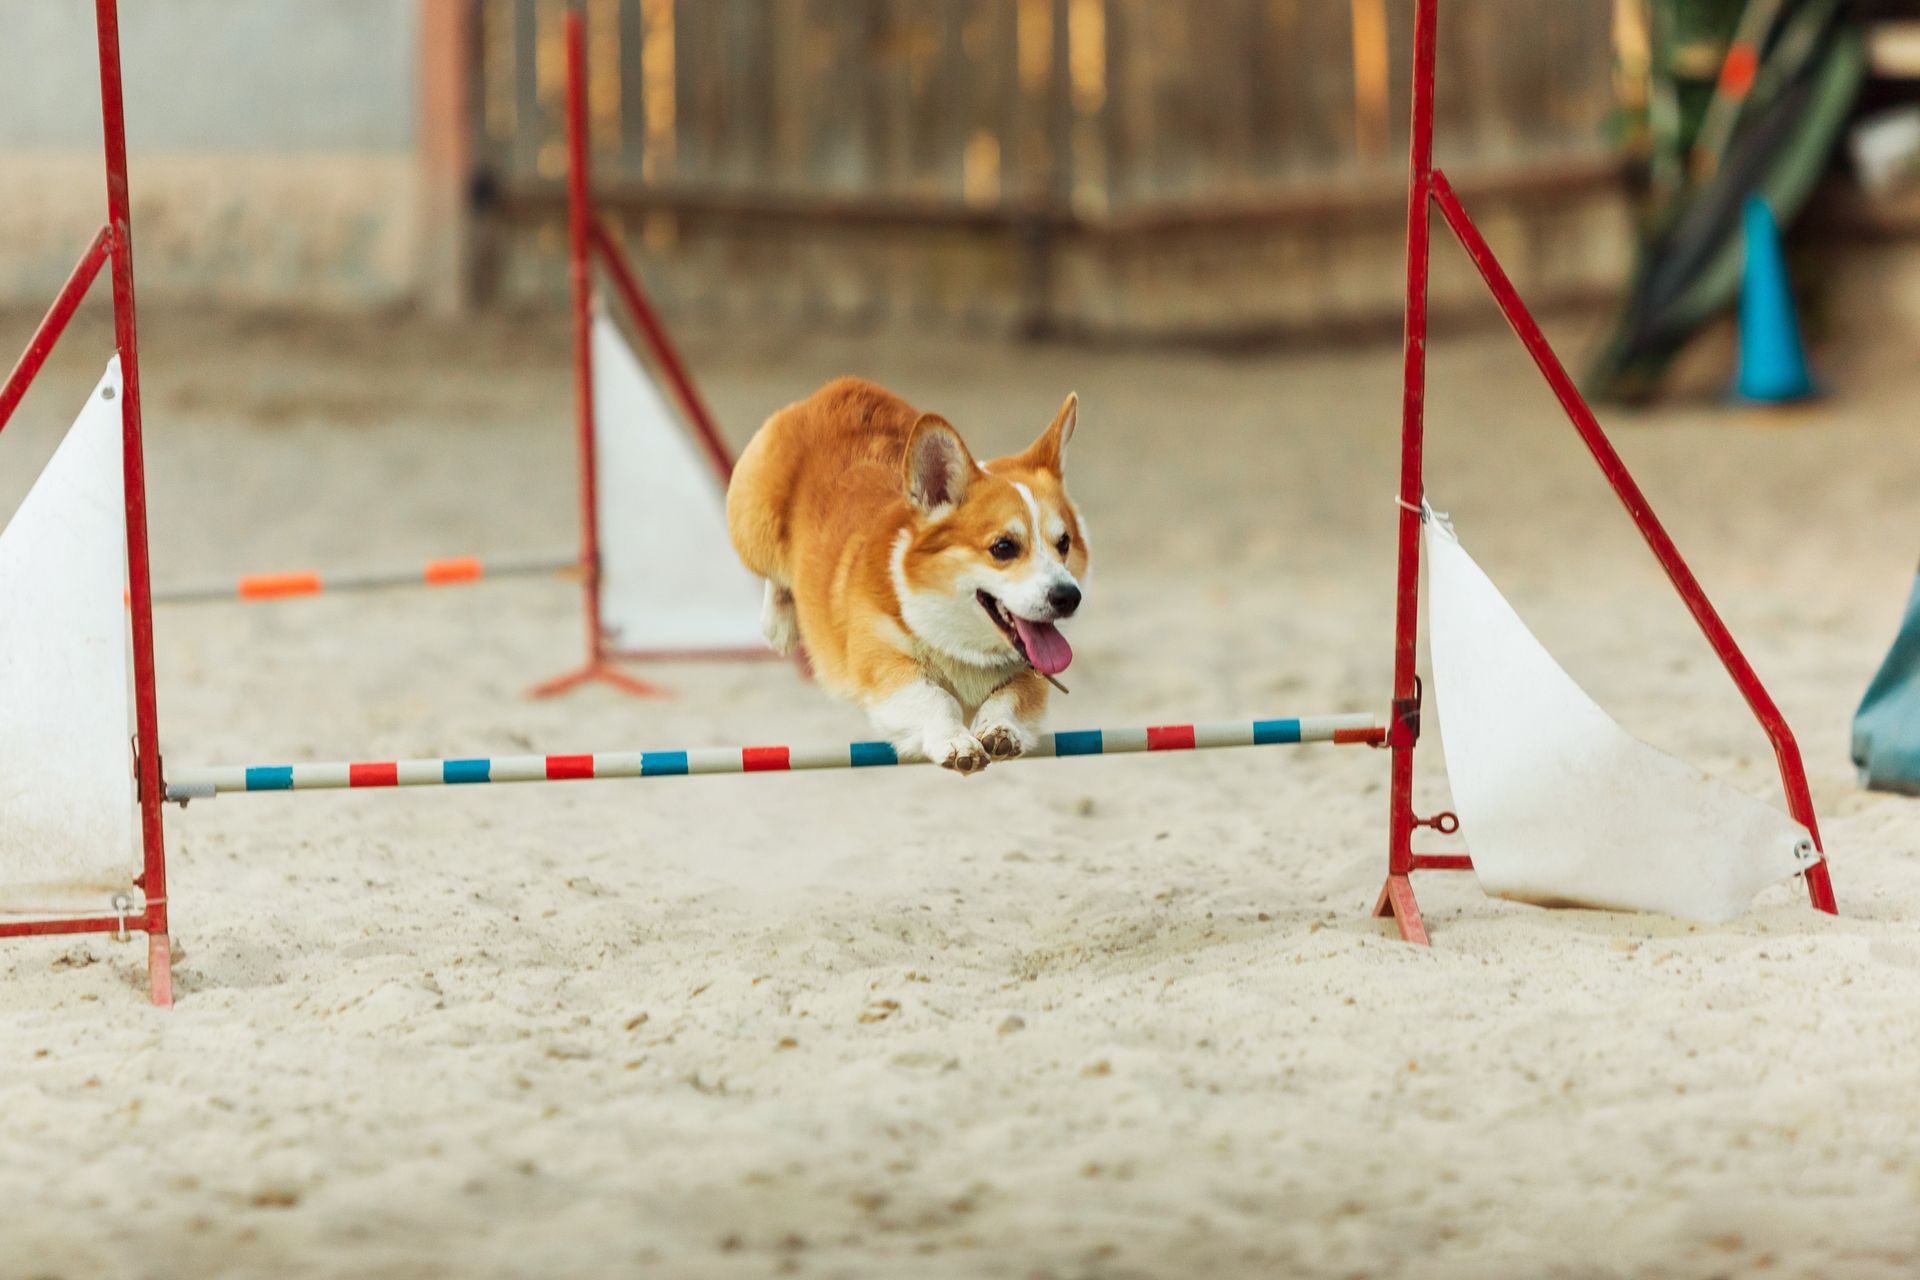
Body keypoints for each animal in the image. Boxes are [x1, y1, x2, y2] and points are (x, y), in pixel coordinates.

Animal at [725, 379, 1090, 775]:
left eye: (1064, 543)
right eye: (1004, 547)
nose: (1068, 597)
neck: (961, 644)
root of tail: (839, 388)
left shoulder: (1032, 677)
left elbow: (1009, 699)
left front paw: (1000, 729)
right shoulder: (886, 670)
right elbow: (936, 698)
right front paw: (955, 741)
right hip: (753, 527)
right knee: (772, 572)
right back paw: (778, 625)